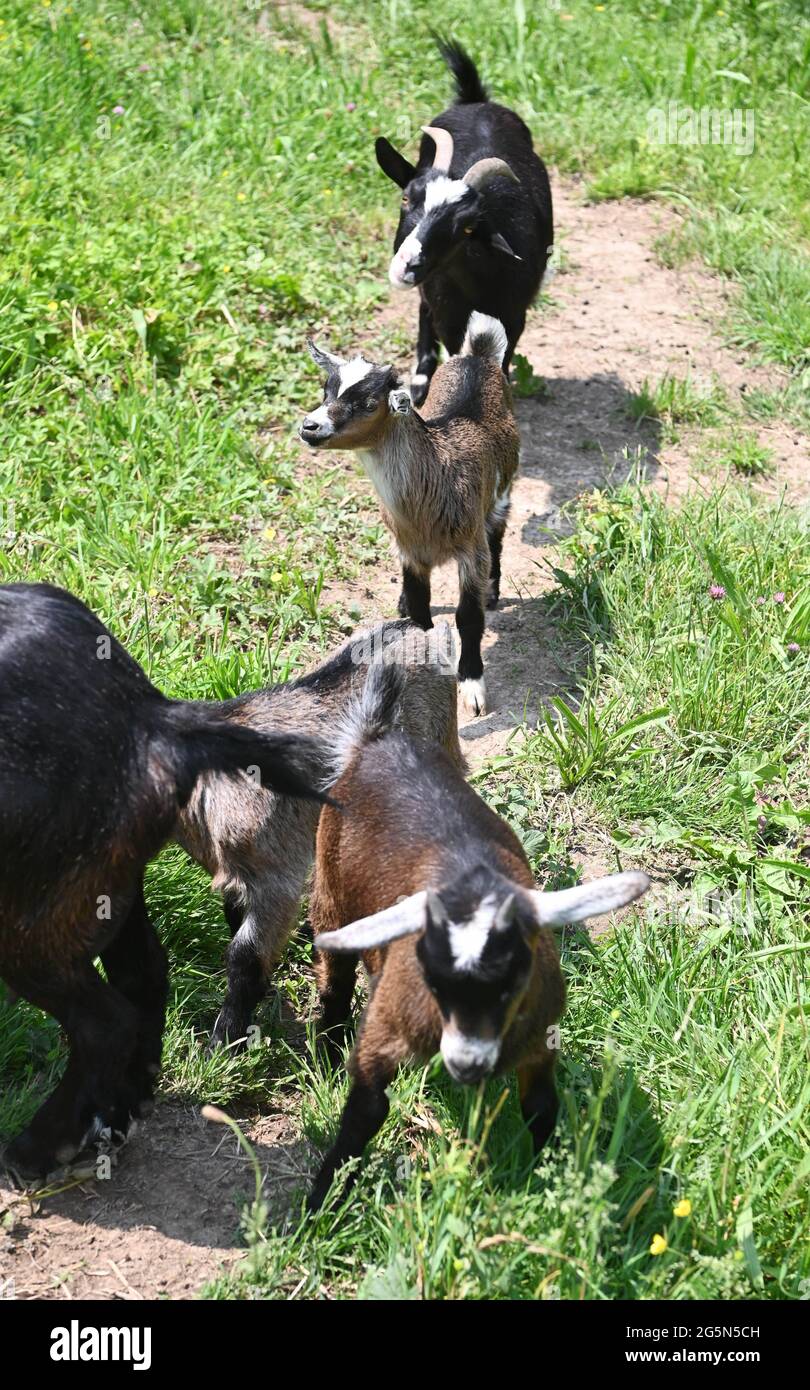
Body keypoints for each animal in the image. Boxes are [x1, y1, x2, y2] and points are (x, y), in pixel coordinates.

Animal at [0, 581, 323, 1178]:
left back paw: (37, 1149)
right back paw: (115, 1117)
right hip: (105, 879)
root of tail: (148, 717)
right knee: (144, 975)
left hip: (31, 905)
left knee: (104, 1022)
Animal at [300, 308, 519, 711]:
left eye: (369, 403)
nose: (309, 426)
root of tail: (478, 354)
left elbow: (469, 617)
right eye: (326, 391)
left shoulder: (470, 548)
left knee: (497, 530)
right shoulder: (409, 551)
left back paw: (493, 590)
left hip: (504, 486)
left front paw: (473, 688)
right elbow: (419, 612)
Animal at [377, 38, 555, 405]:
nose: (406, 266)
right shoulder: (449, 313)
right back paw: (421, 379)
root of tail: (474, 100)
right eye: (406, 198)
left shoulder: (514, 315)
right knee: (423, 310)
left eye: (468, 228)